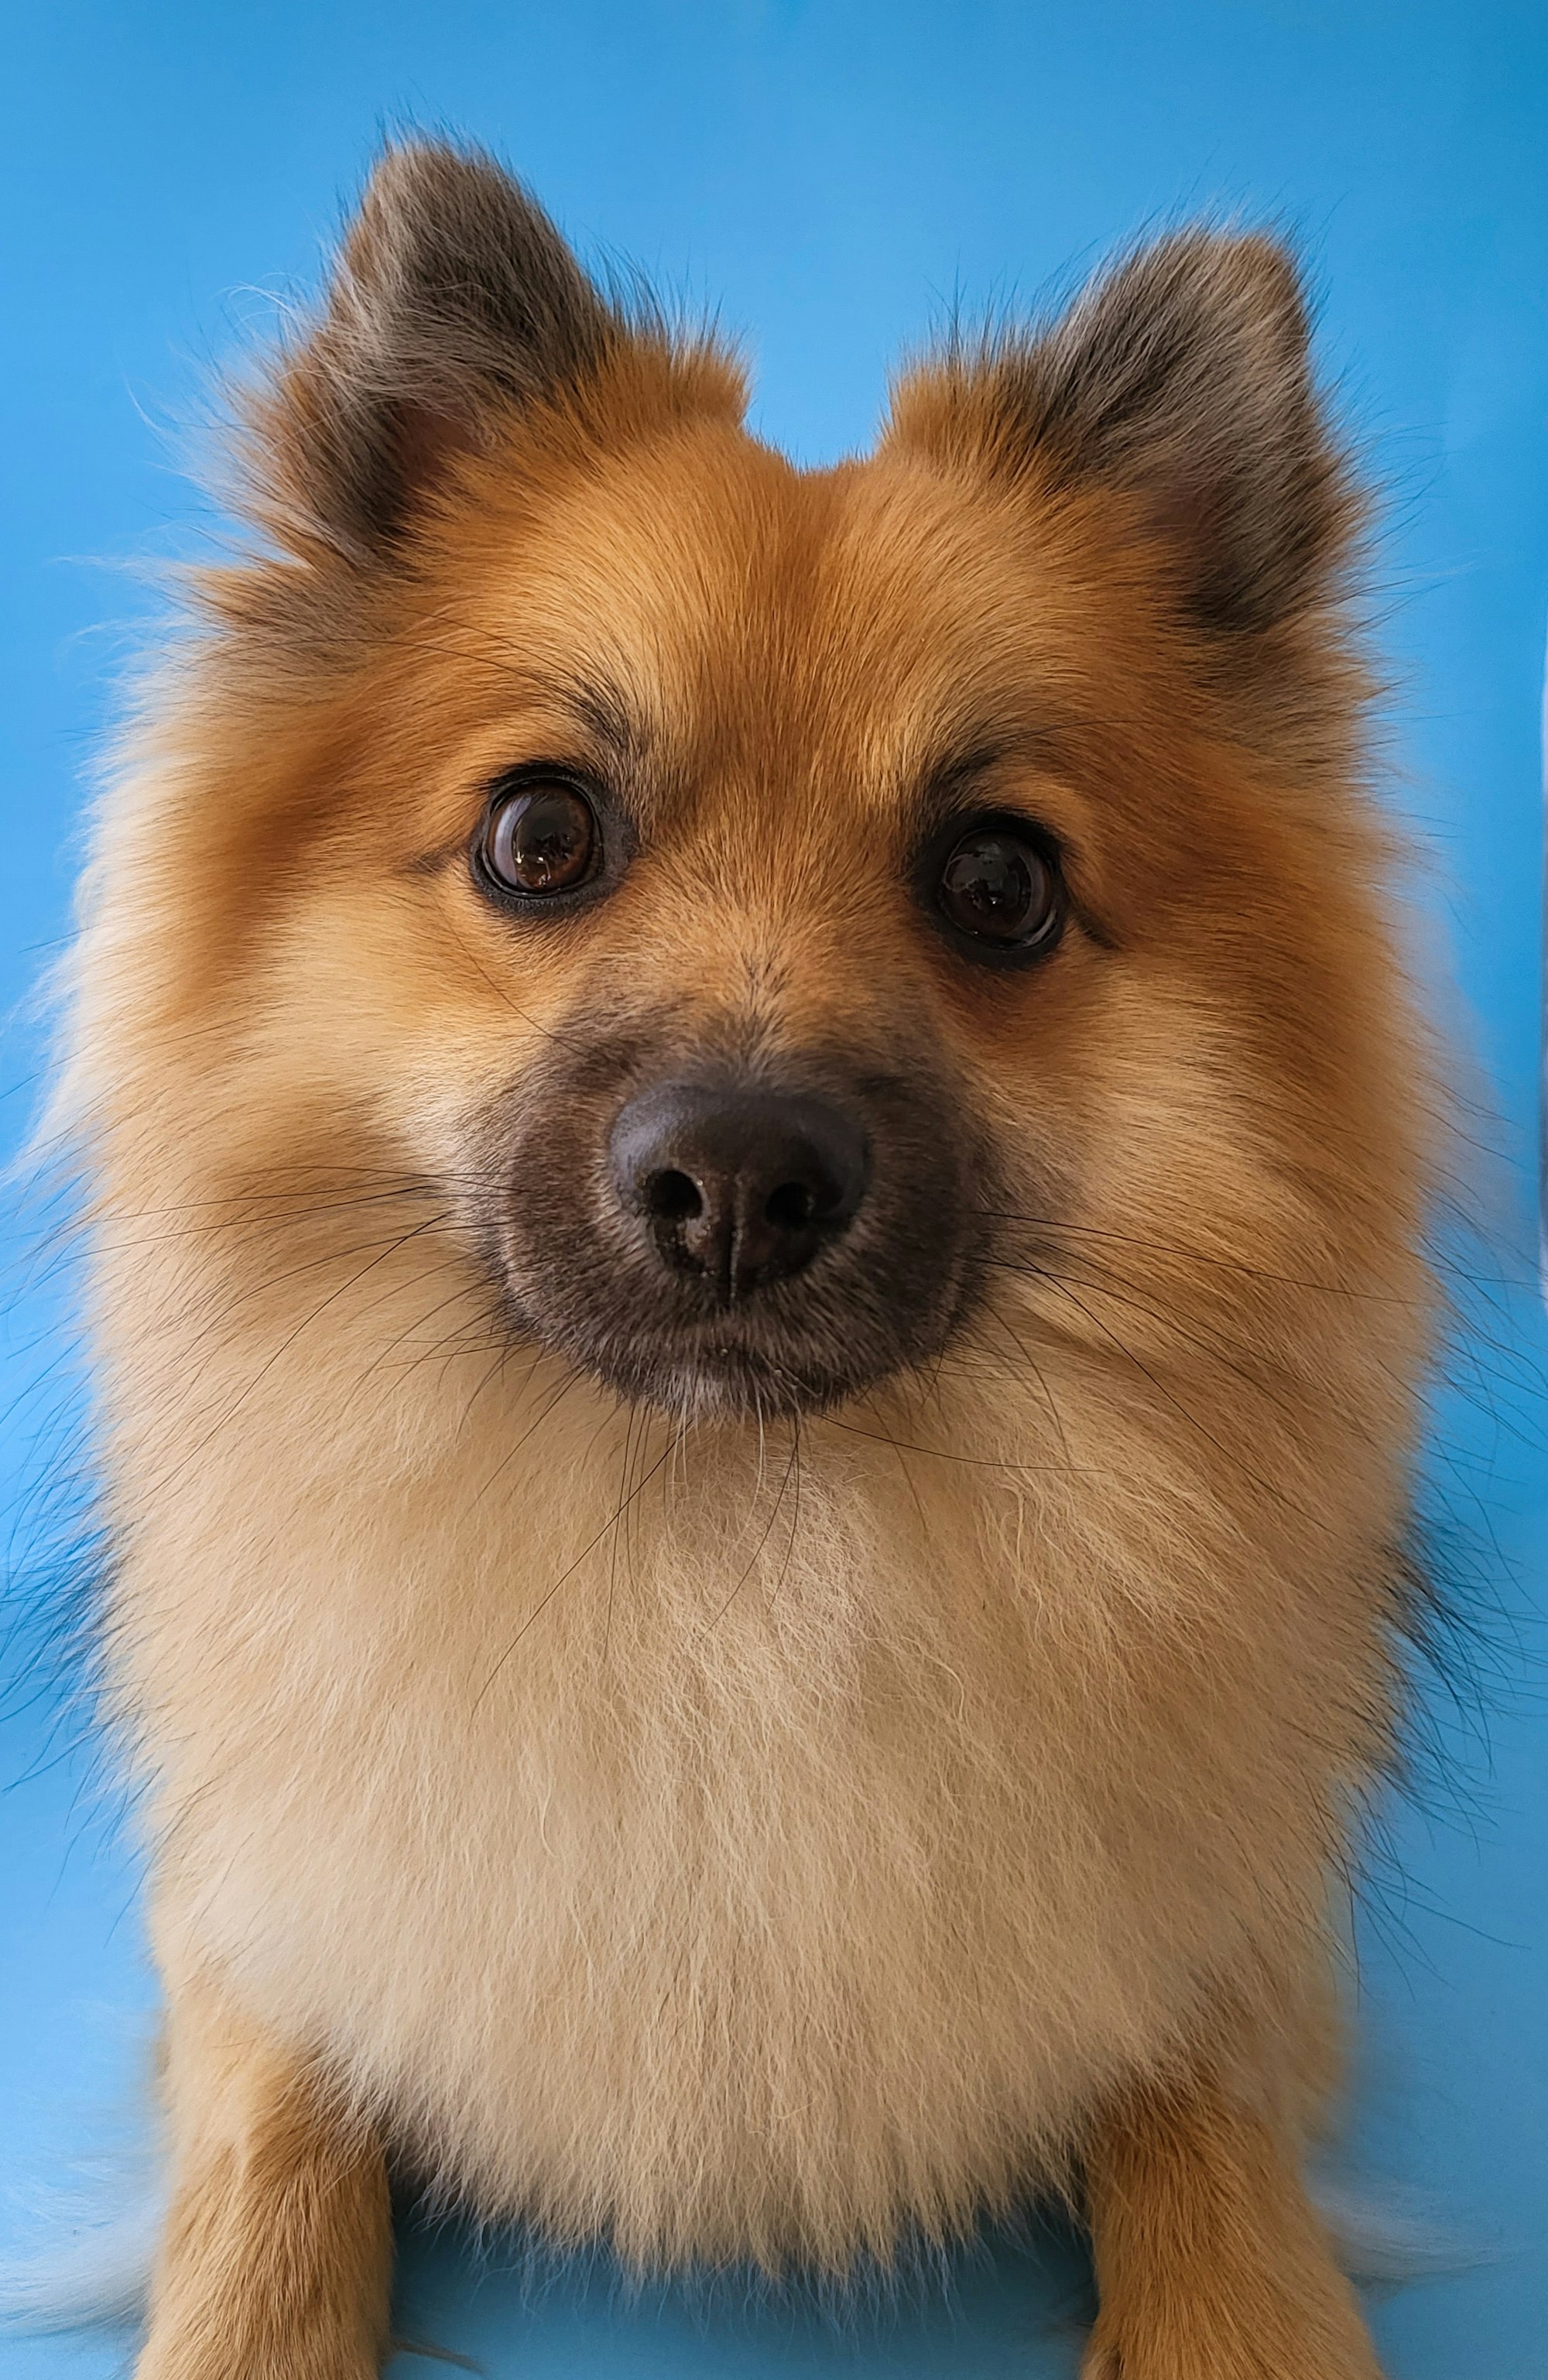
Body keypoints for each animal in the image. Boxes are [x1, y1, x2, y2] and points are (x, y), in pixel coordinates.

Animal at [60, 139, 1445, 2370]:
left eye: (998, 882)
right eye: (542, 835)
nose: (734, 1174)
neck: (736, 1575)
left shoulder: (1235, 1926)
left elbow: (1211, 2131)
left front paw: (1242, 2314)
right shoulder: (257, 1910)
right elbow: (274, 2160)